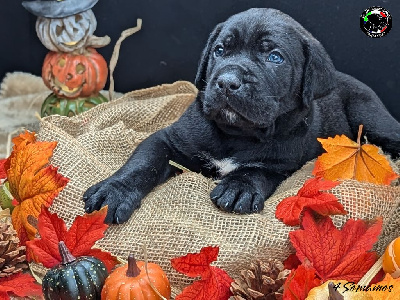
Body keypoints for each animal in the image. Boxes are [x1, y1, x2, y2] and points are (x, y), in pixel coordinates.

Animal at [82, 7, 400, 223]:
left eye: (274, 57)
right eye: (219, 50)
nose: (226, 82)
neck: (238, 134)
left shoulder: (281, 163)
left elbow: (256, 170)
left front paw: (239, 187)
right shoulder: (168, 139)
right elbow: (142, 163)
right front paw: (114, 191)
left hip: (370, 117)